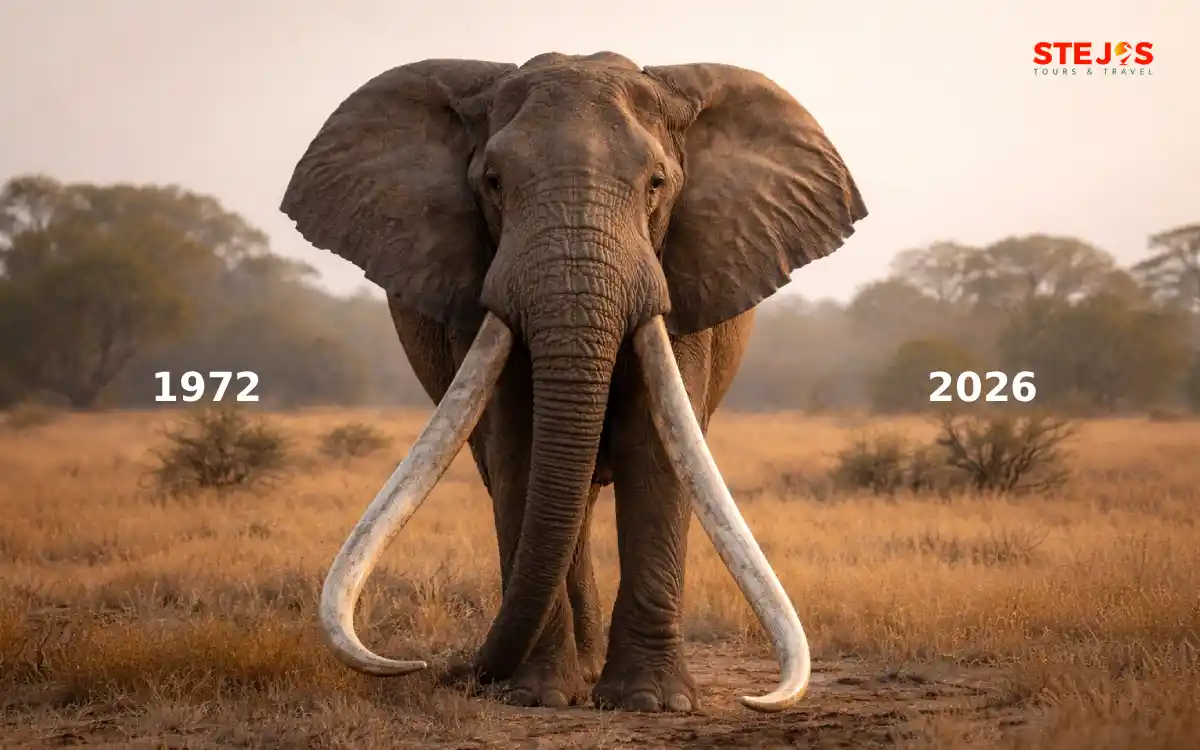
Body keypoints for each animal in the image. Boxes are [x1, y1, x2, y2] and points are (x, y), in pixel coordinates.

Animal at [280, 51, 867, 714]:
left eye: (656, 184)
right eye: (493, 183)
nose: (450, 671)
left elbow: (657, 450)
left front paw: (651, 703)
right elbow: (520, 448)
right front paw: (538, 697)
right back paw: (574, 676)